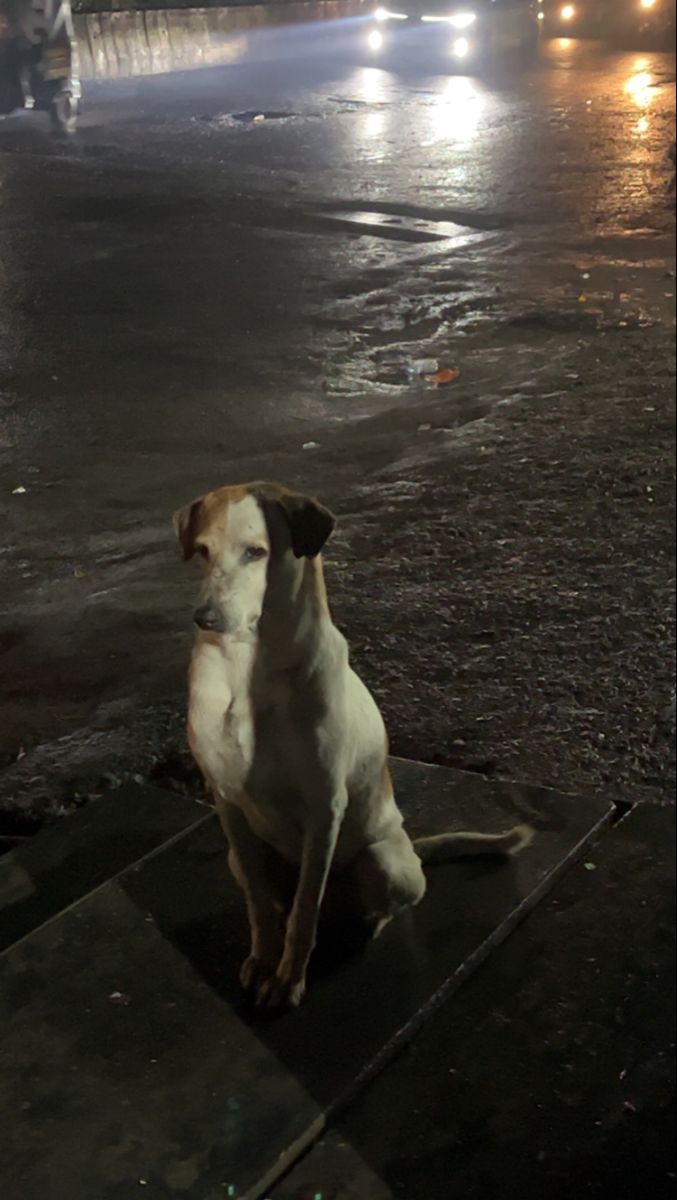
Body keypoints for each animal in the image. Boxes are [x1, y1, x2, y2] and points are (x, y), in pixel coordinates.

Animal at [171, 482, 530, 1008]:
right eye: (202, 551)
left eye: (256, 552)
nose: (206, 618)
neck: (247, 671)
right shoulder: (227, 801)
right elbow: (259, 903)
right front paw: (264, 958)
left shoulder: (324, 806)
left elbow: (306, 913)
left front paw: (288, 979)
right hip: (244, 856)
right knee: (279, 898)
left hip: (382, 863)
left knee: (362, 904)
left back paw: (365, 923)